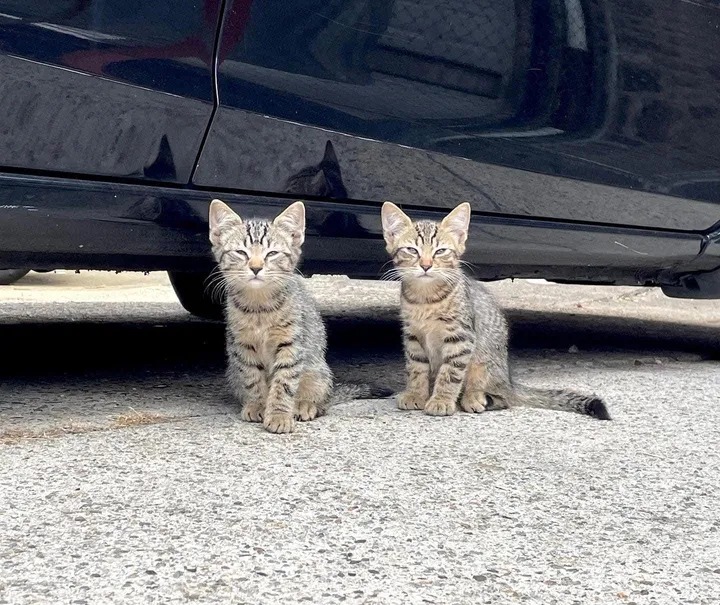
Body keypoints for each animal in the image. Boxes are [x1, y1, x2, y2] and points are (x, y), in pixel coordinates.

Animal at [208, 201, 332, 432]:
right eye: (241, 252)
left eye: (272, 253)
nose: (256, 267)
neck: (260, 309)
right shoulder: (243, 346)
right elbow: (252, 378)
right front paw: (258, 404)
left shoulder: (291, 345)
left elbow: (284, 382)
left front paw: (279, 415)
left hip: (317, 371)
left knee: (322, 397)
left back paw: (305, 404)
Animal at [380, 203, 612, 420]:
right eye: (412, 250)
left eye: (441, 251)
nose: (426, 265)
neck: (425, 298)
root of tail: (509, 381)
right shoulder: (412, 336)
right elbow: (416, 369)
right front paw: (416, 394)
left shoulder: (461, 337)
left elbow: (451, 373)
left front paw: (442, 400)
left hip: (484, 363)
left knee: (502, 398)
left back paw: (474, 398)